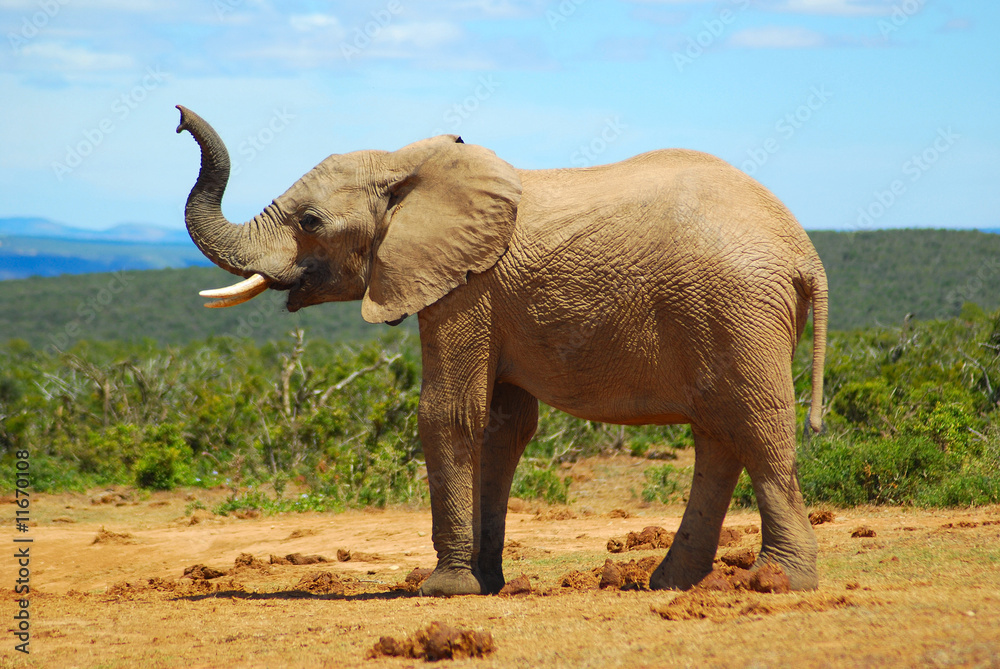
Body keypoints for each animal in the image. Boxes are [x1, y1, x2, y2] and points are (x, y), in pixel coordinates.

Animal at [175, 105, 828, 596]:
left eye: (310, 221)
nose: (179, 119)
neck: (407, 165)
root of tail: (805, 253)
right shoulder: (484, 294)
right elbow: (501, 426)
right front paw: (484, 584)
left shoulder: (467, 287)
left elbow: (449, 414)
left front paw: (443, 590)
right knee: (718, 433)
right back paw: (672, 583)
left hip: (737, 308)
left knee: (754, 423)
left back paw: (778, 582)